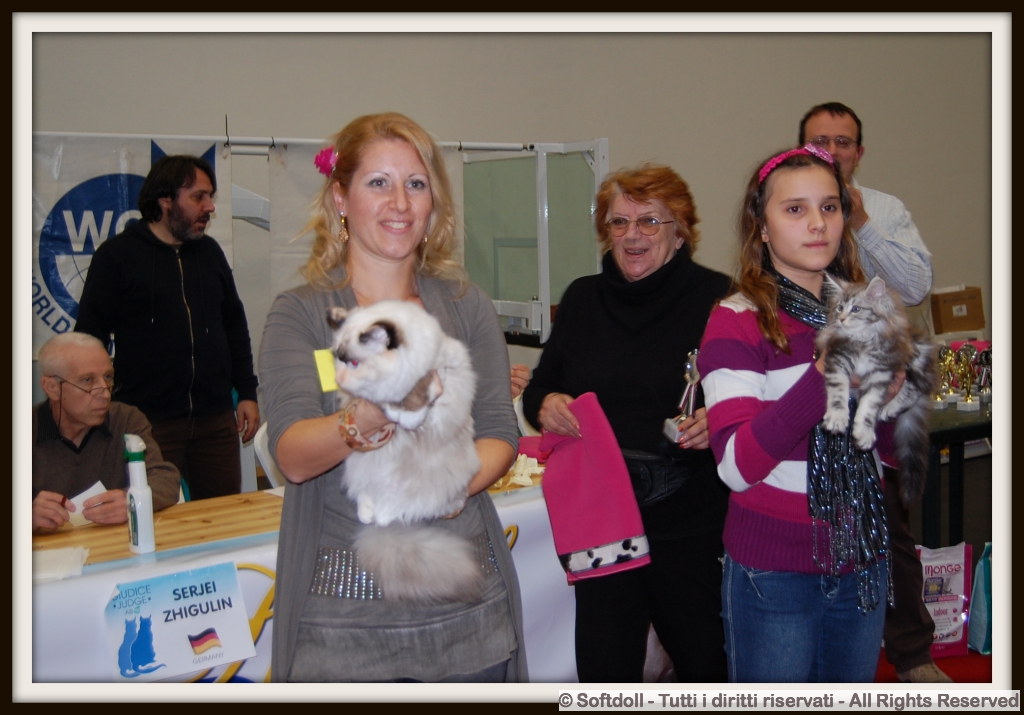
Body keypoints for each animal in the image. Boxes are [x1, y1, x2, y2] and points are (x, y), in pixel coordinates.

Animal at [327, 300, 484, 602]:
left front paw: (406, 417)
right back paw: (368, 514)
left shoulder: (431, 372)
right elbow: (383, 404)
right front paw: (392, 413)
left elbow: (416, 397)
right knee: (369, 497)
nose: (338, 379)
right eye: (337, 359)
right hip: (361, 467)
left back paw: (383, 514)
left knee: (399, 507)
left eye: (354, 362)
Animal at [817, 275, 940, 506]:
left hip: (913, 356)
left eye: (856, 309)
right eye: (839, 308)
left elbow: (869, 406)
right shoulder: (838, 360)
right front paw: (837, 418)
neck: (861, 339)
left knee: (915, 389)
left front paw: (864, 432)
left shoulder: (880, 372)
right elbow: (838, 394)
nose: (841, 319)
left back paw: (890, 407)